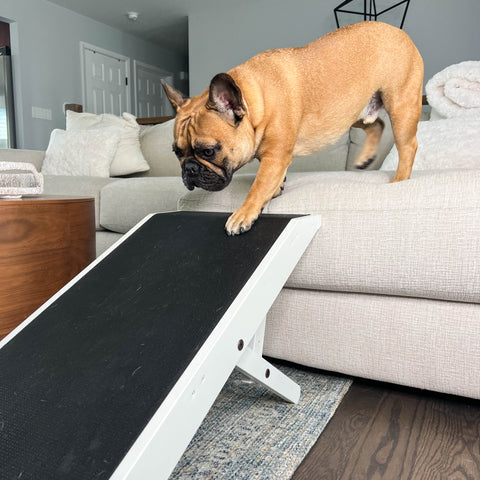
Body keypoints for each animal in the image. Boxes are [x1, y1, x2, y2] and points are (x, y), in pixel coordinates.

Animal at [162, 21, 424, 235]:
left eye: (208, 151)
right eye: (177, 153)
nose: (189, 169)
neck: (253, 100)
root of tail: (399, 32)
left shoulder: (275, 156)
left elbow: (258, 186)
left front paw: (243, 214)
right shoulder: (274, 156)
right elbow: (271, 180)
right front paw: (276, 189)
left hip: (400, 104)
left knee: (408, 146)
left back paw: (399, 180)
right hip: (353, 110)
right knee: (376, 124)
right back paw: (365, 158)